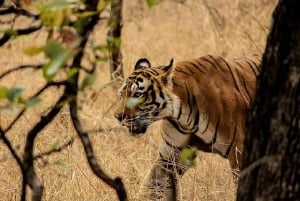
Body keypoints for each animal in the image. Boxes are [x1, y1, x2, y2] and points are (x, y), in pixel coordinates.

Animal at [114, 53, 260, 201]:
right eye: (121, 94)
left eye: (138, 95)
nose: (118, 116)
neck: (182, 116)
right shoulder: (169, 157)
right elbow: (153, 187)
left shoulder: (238, 151)